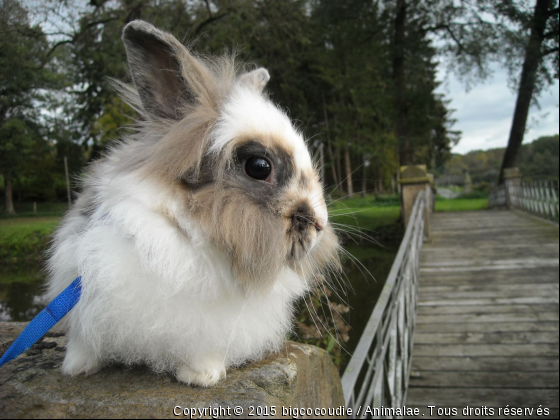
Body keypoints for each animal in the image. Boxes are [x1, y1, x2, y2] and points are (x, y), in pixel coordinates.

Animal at [43, 20, 340, 388]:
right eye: (259, 166)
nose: (320, 223)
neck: (186, 230)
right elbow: (84, 339)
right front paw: (77, 366)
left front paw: (201, 376)